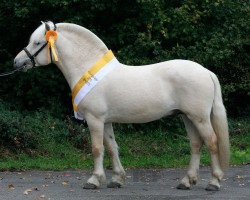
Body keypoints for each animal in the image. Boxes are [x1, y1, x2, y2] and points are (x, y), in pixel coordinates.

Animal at [13, 21, 229, 191]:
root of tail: (206, 72)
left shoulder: (94, 119)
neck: (88, 71)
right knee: (196, 144)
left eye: (37, 42)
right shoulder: (106, 121)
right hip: (187, 116)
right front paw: (117, 179)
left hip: (199, 118)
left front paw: (93, 180)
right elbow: (111, 147)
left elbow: (97, 148)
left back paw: (214, 182)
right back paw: (186, 181)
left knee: (212, 142)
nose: (17, 63)